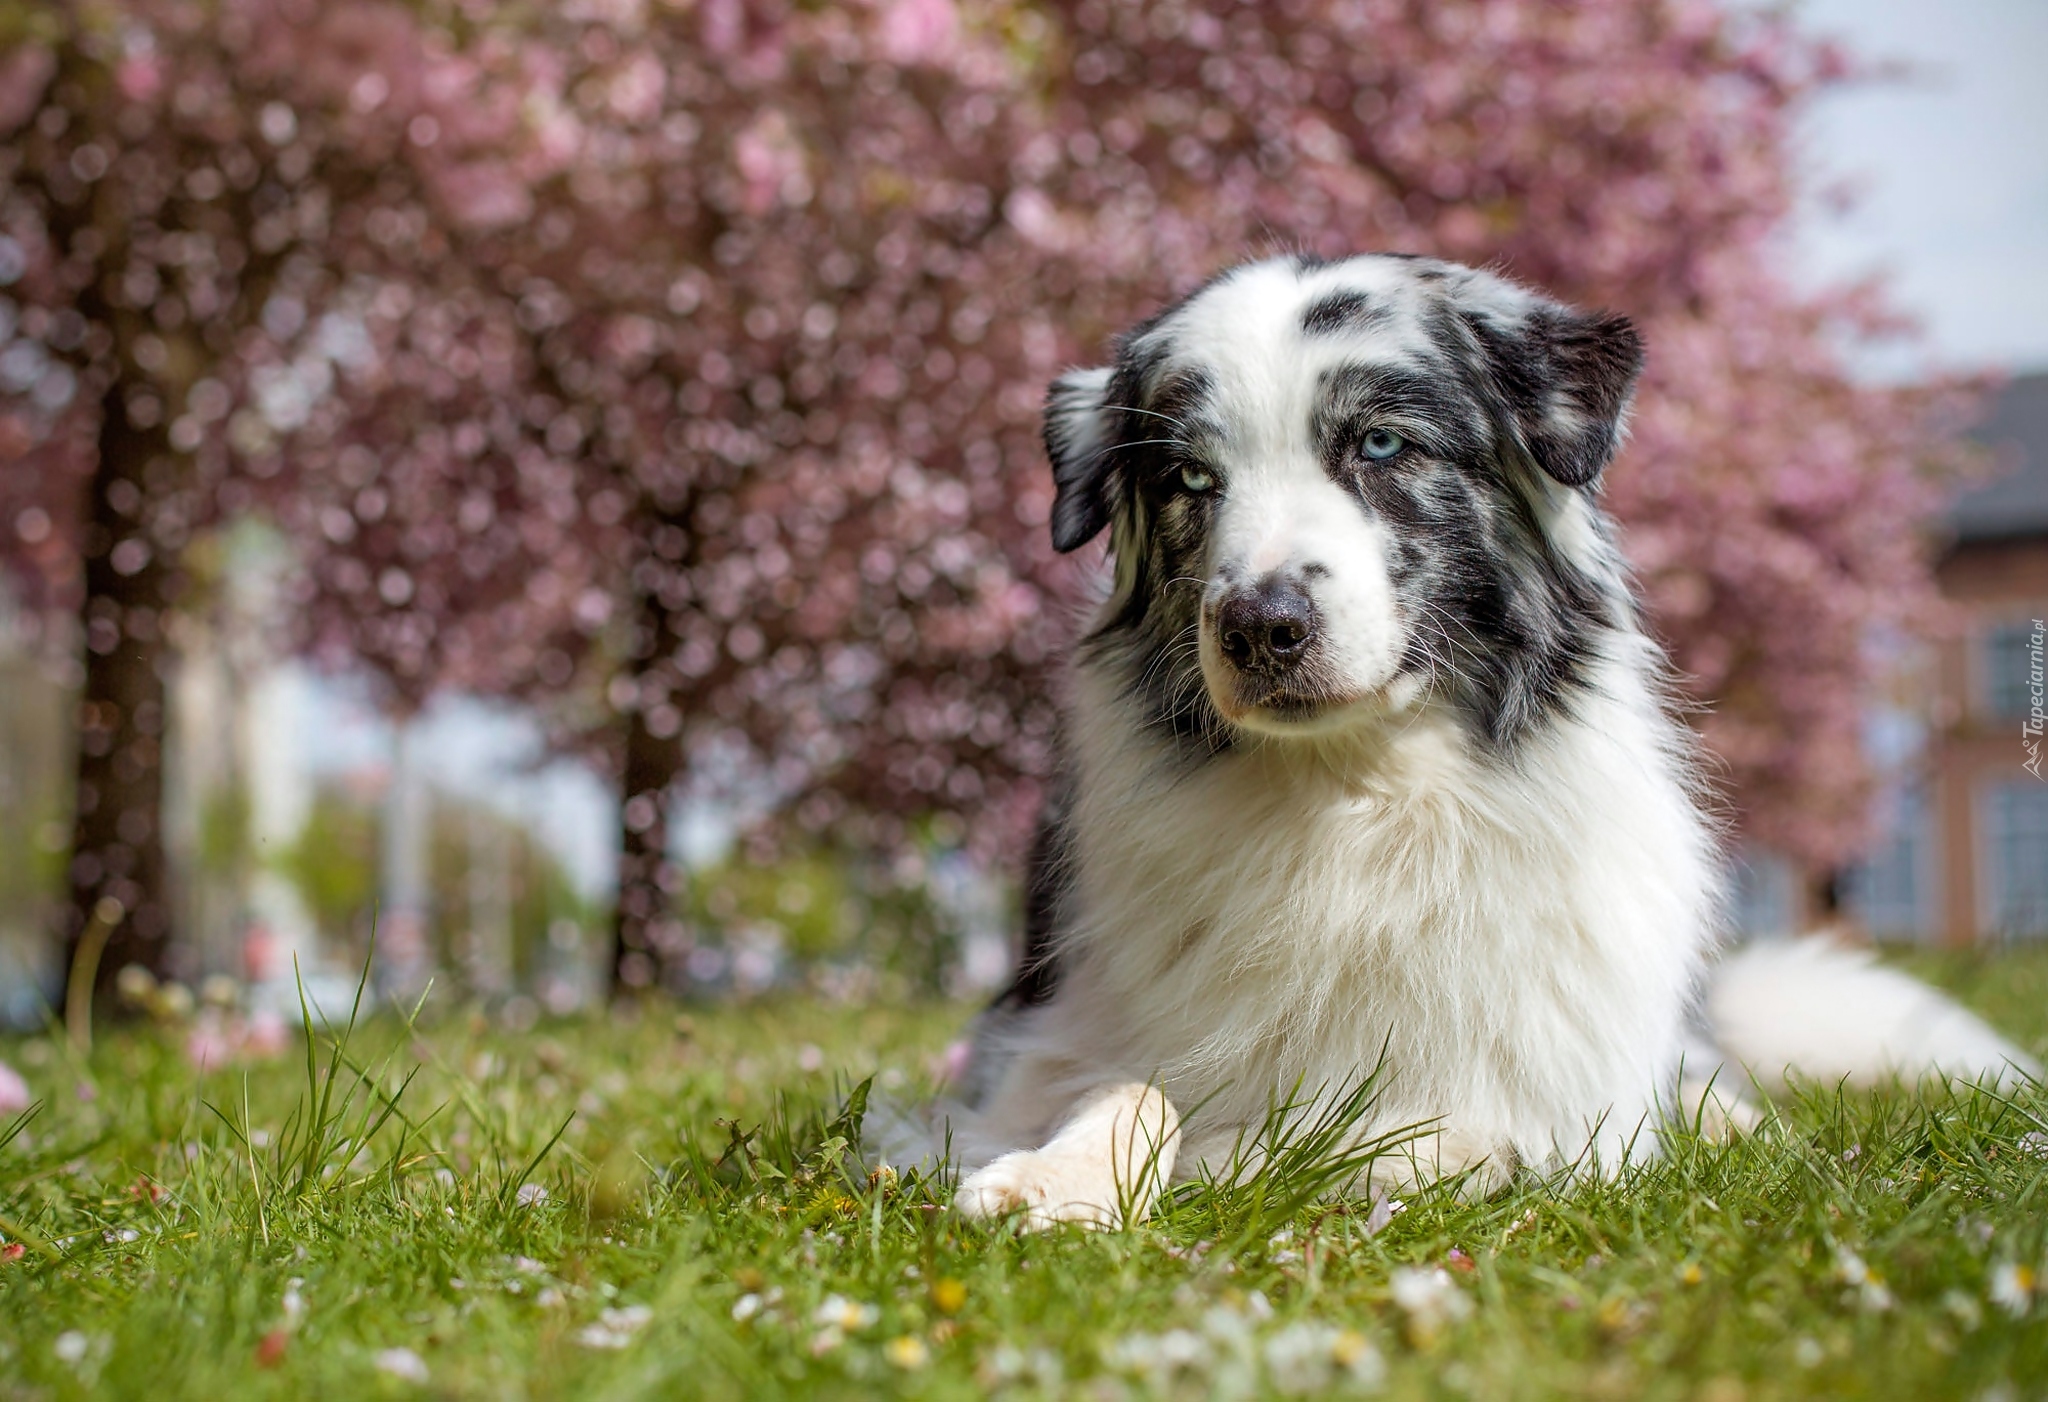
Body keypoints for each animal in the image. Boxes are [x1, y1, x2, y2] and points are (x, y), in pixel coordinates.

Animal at [921, 251, 2039, 1228]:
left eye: (1380, 446)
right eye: (1191, 478)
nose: (1258, 626)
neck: (1357, 807)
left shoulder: (1549, 1105)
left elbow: (1447, 1134)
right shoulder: (1043, 1035)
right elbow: (1127, 1089)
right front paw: (1056, 1178)